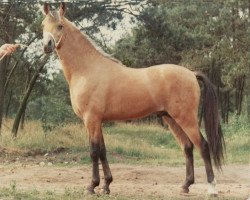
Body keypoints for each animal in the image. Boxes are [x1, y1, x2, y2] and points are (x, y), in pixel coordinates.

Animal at [41, 2, 225, 196]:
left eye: (60, 26)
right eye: (43, 25)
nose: (47, 45)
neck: (87, 69)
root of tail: (191, 73)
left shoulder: (91, 120)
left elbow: (93, 151)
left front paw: (92, 186)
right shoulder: (98, 122)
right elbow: (103, 151)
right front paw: (106, 185)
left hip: (186, 119)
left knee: (203, 146)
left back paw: (212, 188)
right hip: (171, 119)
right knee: (187, 147)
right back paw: (185, 186)